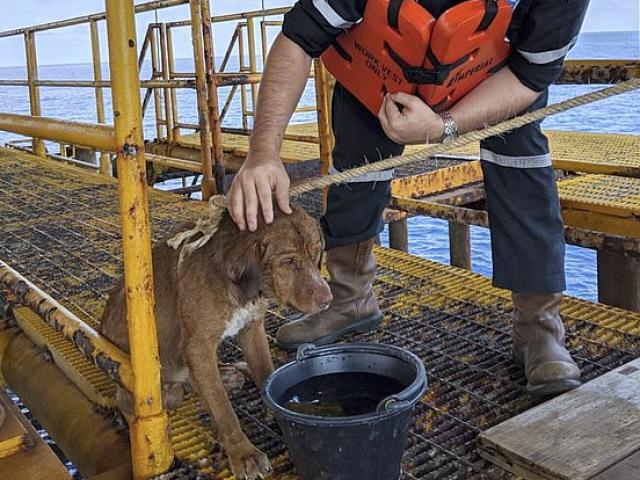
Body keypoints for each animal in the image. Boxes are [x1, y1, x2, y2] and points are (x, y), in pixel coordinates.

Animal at [100, 203, 332, 480]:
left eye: (316, 254)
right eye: (288, 262)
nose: (327, 300)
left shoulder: (252, 328)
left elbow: (265, 371)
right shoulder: (198, 346)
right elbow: (222, 408)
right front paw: (243, 453)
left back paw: (229, 373)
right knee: (143, 400)